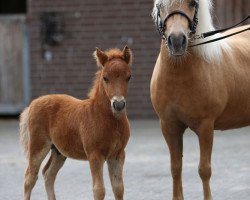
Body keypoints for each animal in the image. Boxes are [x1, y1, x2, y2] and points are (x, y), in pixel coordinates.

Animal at [20, 46, 133, 200]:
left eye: (128, 77)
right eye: (105, 77)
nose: (119, 104)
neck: (109, 121)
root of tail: (32, 104)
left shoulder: (118, 155)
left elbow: (118, 188)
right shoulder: (94, 155)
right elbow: (99, 190)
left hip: (58, 151)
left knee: (48, 174)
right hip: (38, 146)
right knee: (30, 177)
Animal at [150, 0, 250, 200]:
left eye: (192, 4)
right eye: (161, 5)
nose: (177, 41)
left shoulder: (205, 126)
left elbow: (204, 170)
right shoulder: (169, 126)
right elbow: (175, 168)